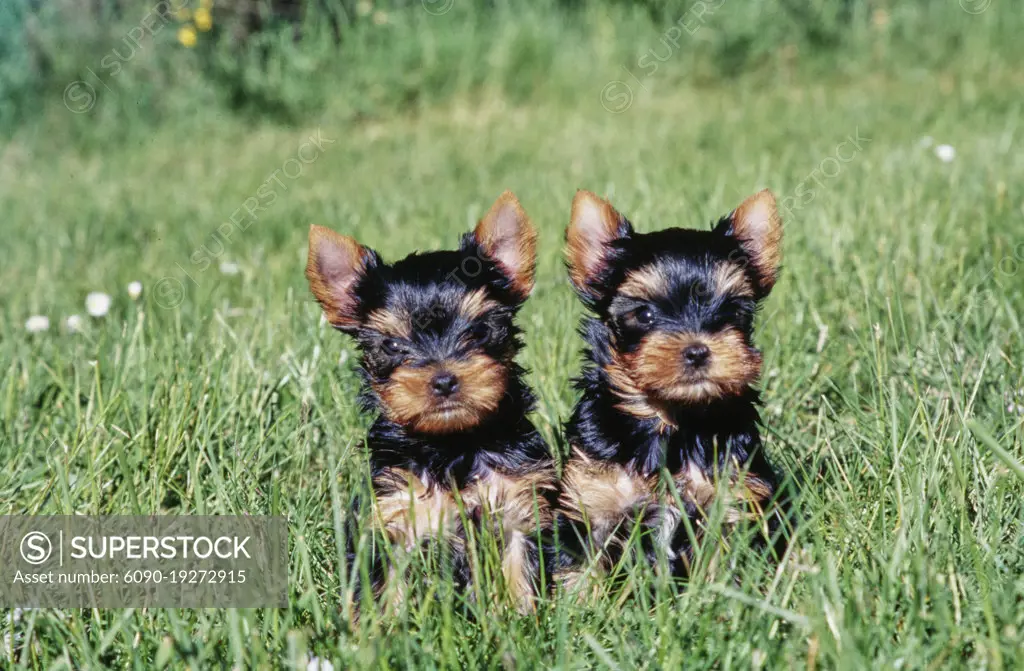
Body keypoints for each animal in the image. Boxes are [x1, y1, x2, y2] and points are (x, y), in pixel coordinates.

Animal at [305, 190, 557, 614]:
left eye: (479, 330)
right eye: (392, 345)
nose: (443, 380)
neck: (450, 445)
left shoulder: (518, 506)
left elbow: (519, 568)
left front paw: (519, 618)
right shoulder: (392, 516)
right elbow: (383, 586)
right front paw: (379, 627)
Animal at [557, 188, 786, 590]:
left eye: (733, 311)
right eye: (644, 314)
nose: (697, 351)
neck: (671, 421)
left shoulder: (732, 499)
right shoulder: (592, 499)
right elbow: (579, 571)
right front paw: (580, 605)